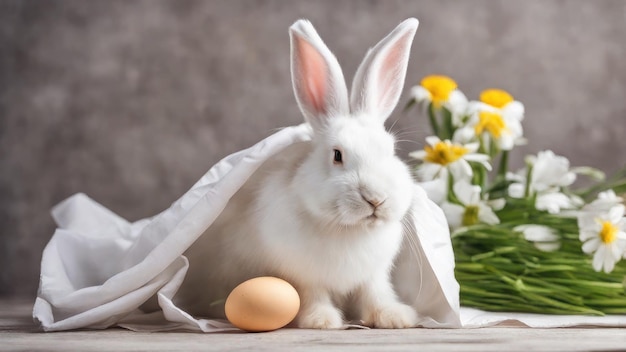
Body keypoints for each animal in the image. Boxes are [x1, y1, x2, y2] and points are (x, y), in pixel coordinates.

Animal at [176, 17, 420, 328]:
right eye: (337, 155)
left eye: (390, 151)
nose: (376, 198)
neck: (347, 229)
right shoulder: (299, 274)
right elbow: (310, 294)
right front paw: (322, 321)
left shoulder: (373, 275)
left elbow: (375, 292)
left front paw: (395, 317)